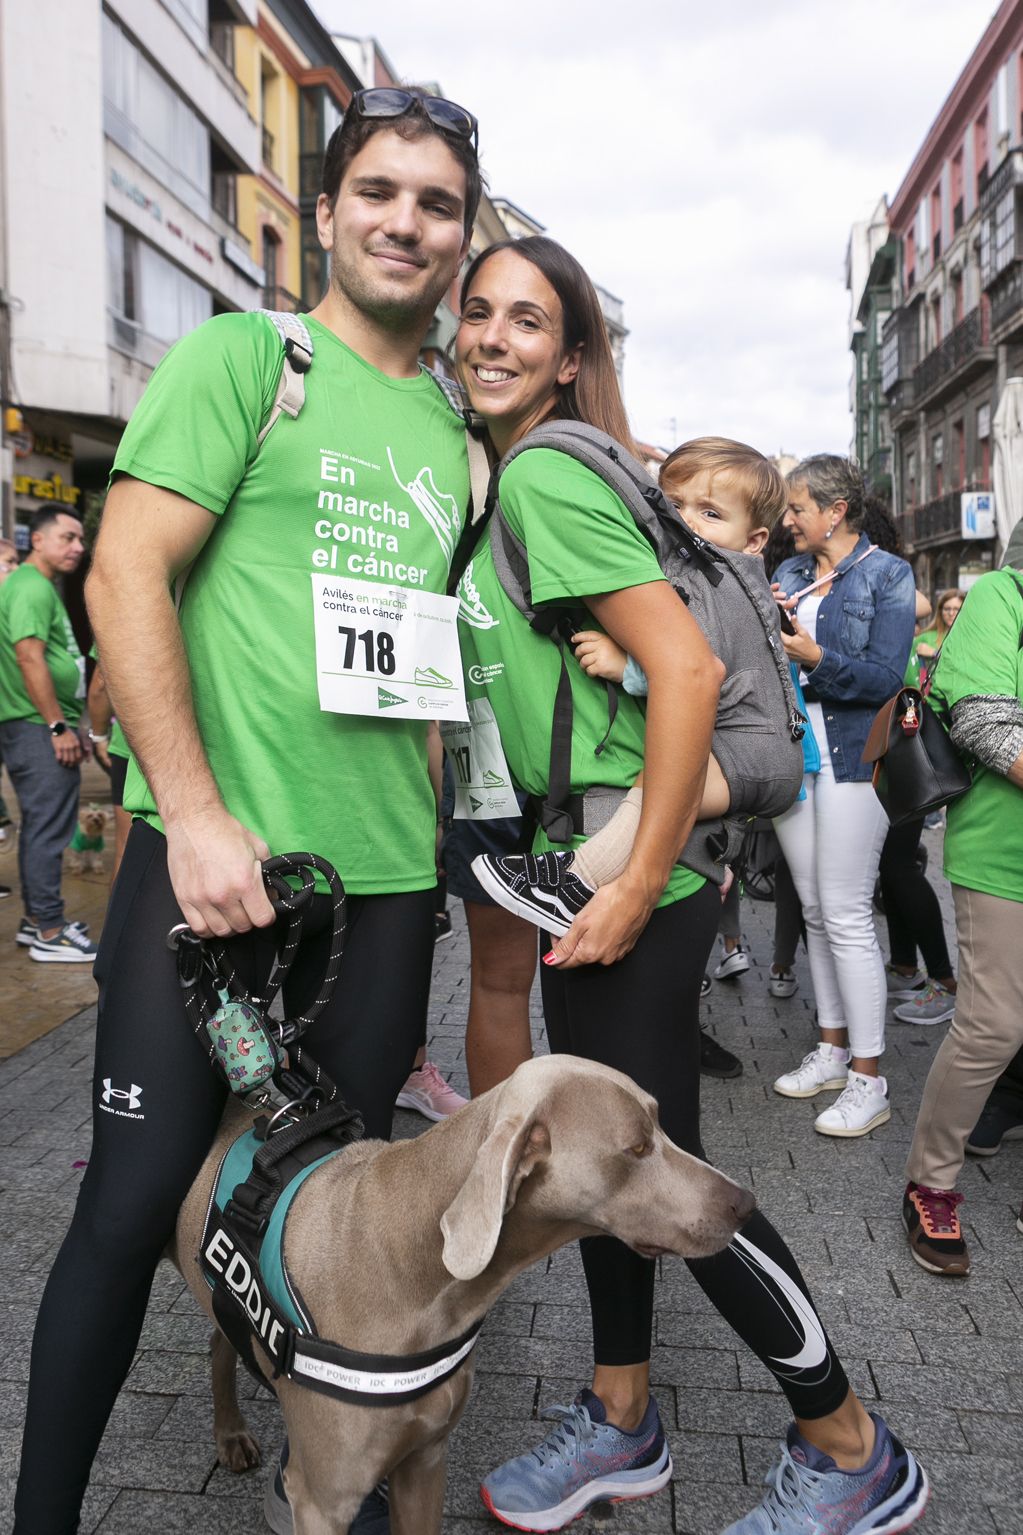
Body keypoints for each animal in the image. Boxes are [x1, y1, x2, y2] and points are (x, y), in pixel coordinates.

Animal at [173, 1056, 749, 1535]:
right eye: (637, 1147)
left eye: (661, 1123)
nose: (746, 1203)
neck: (416, 1274)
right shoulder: (323, 1501)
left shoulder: (425, 1461)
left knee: (220, 1338)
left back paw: (230, 1434)